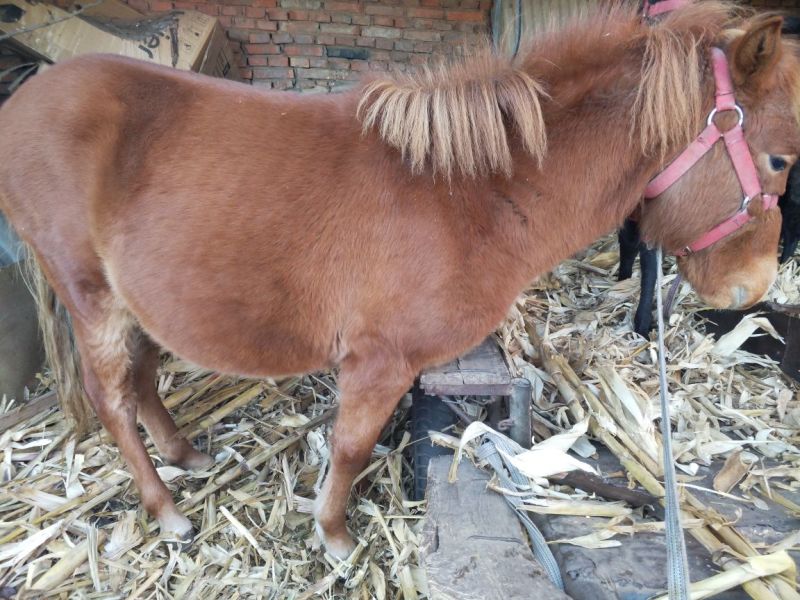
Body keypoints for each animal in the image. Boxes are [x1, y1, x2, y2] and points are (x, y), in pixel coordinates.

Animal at [1, 1, 799, 559]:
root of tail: (26, 100)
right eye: (781, 159)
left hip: (130, 300)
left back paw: (185, 454)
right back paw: (166, 511)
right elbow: (352, 448)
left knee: (141, 378)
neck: (471, 191)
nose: (753, 287)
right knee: (112, 397)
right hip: (91, 298)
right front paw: (334, 535)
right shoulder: (378, 361)